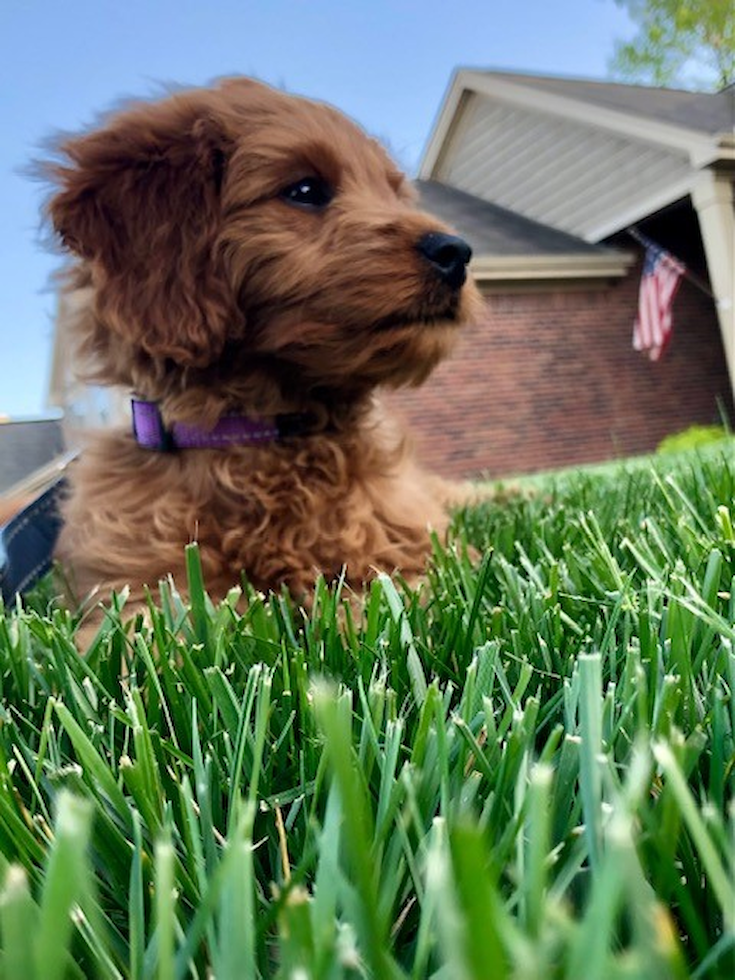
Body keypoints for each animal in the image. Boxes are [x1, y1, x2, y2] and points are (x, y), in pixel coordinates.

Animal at [46, 78, 484, 612]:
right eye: (305, 191)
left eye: (394, 193)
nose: (456, 252)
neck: (266, 435)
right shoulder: (140, 591)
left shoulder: (411, 556)